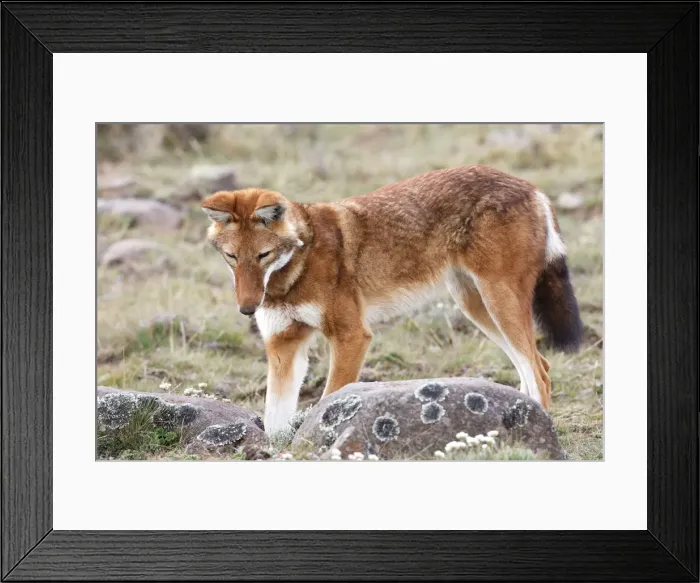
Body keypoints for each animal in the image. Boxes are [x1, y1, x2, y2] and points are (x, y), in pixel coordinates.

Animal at [202, 165, 582, 434]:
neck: (295, 269)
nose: (247, 308)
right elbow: (274, 421)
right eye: (232, 257)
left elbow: (329, 399)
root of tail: (532, 187)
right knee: (539, 366)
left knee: (540, 374)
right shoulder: (283, 347)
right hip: (477, 309)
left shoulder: (352, 336)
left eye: (263, 256)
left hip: (497, 304)